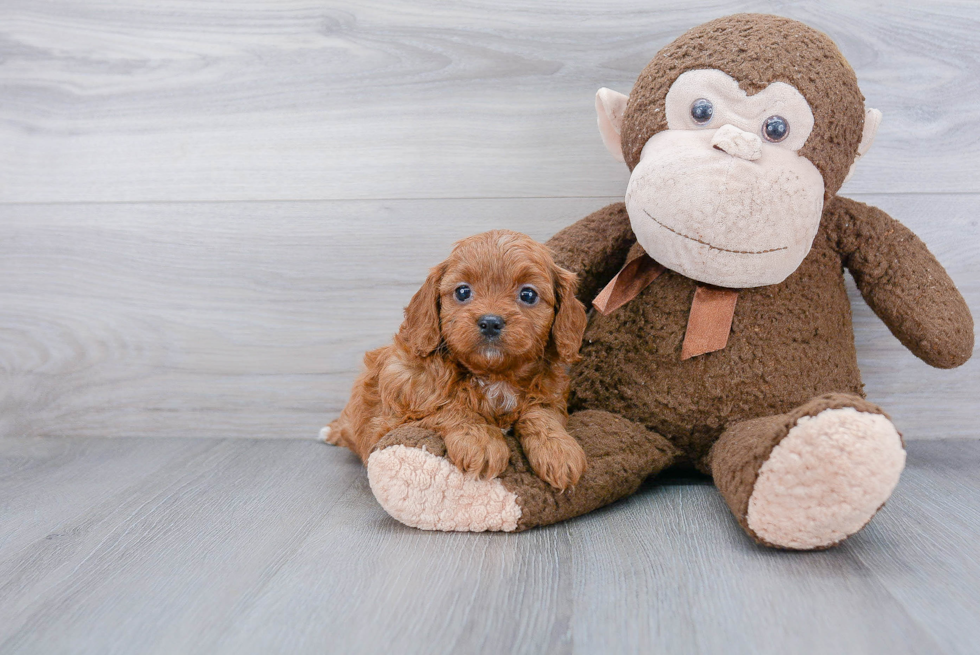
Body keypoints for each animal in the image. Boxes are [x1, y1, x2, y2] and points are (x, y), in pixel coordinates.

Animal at [326, 228, 588, 490]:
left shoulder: (551, 394)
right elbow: (449, 407)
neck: (494, 375)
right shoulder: (394, 417)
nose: (490, 322)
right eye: (463, 292)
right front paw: (481, 442)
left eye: (528, 294)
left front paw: (559, 449)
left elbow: (541, 413)